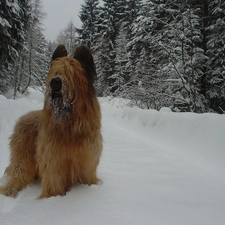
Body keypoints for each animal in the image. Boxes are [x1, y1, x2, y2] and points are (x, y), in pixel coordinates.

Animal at [0, 44, 102, 199]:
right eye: (55, 72)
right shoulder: (53, 160)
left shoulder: (87, 162)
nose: (55, 82)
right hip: (23, 155)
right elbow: (54, 181)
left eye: (70, 73)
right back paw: (11, 190)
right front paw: (54, 198)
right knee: (19, 171)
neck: (69, 124)